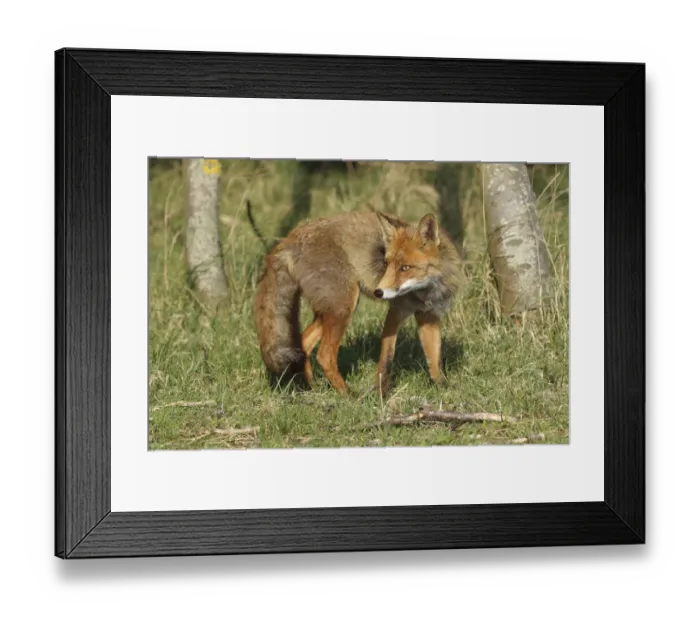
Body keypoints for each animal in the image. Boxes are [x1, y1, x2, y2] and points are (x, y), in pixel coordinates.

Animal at [248, 201, 465, 396]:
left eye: (405, 268)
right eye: (386, 263)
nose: (378, 292)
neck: (426, 291)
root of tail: (292, 235)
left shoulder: (429, 315)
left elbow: (434, 358)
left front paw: (444, 387)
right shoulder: (396, 310)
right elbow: (386, 359)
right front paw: (380, 392)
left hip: (329, 309)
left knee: (303, 343)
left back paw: (313, 389)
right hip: (344, 306)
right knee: (324, 355)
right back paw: (348, 396)